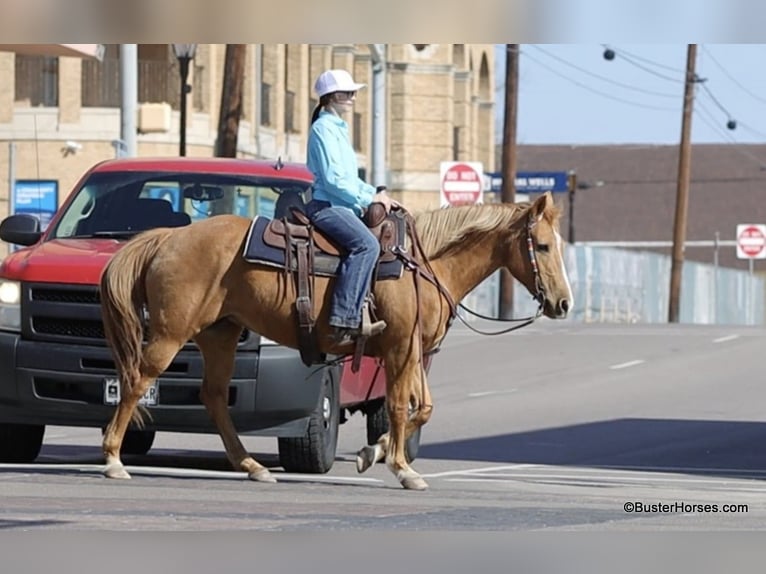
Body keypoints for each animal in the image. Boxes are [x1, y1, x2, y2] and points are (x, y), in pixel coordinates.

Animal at [99, 190, 573, 490]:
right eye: (543, 246)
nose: (564, 303)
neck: (422, 264)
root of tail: (168, 237)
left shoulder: (414, 351)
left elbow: (423, 407)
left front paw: (371, 453)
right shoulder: (399, 349)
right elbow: (398, 407)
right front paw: (402, 468)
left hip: (221, 334)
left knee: (213, 396)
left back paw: (252, 466)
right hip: (172, 332)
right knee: (138, 381)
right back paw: (113, 460)